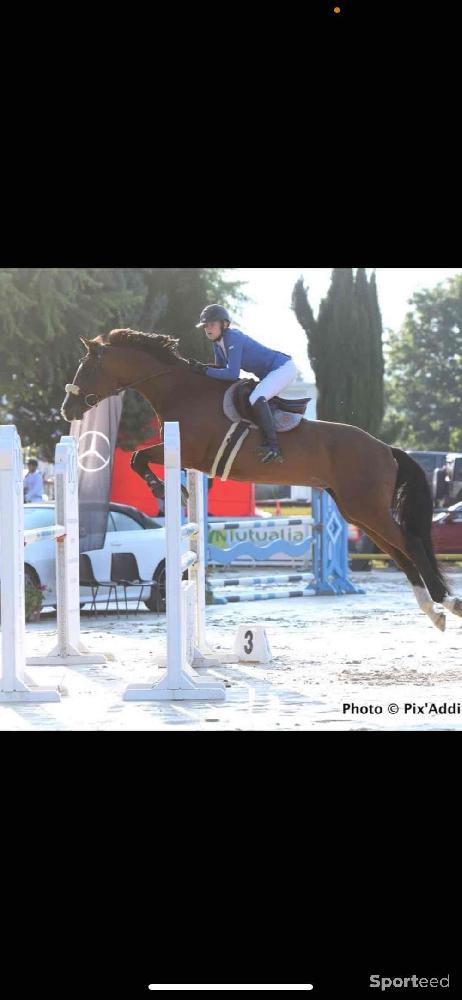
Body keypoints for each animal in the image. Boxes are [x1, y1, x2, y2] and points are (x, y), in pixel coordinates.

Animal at [61, 332, 462, 636]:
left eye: (88, 367)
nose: (68, 409)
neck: (180, 391)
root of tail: (386, 448)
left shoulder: (187, 450)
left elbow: (137, 458)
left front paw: (165, 491)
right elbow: (139, 459)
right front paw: (177, 492)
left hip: (367, 508)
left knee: (409, 543)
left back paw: (448, 602)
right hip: (357, 512)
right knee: (399, 551)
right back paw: (433, 610)